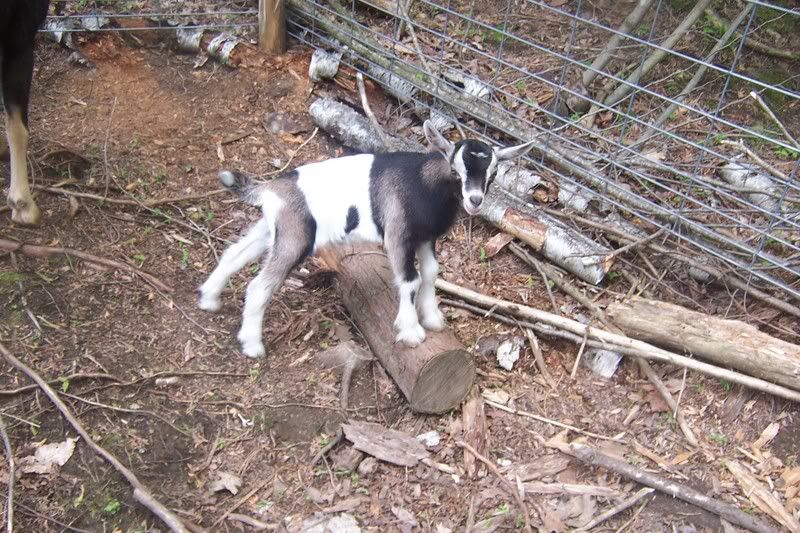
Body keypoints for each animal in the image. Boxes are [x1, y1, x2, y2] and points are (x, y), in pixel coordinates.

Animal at [199, 121, 535, 358]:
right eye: (455, 169)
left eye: (493, 173)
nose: (475, 200)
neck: (423, 183)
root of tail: (271, 189)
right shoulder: (398, 234)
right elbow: (410, 279)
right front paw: (410, 331)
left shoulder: (425, 237)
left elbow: (431, 273)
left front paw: (432, 317)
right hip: (296, 236)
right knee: (259, 285)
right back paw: (252, 345)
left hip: (275, 228)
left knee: (234, 253)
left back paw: (209, 299)